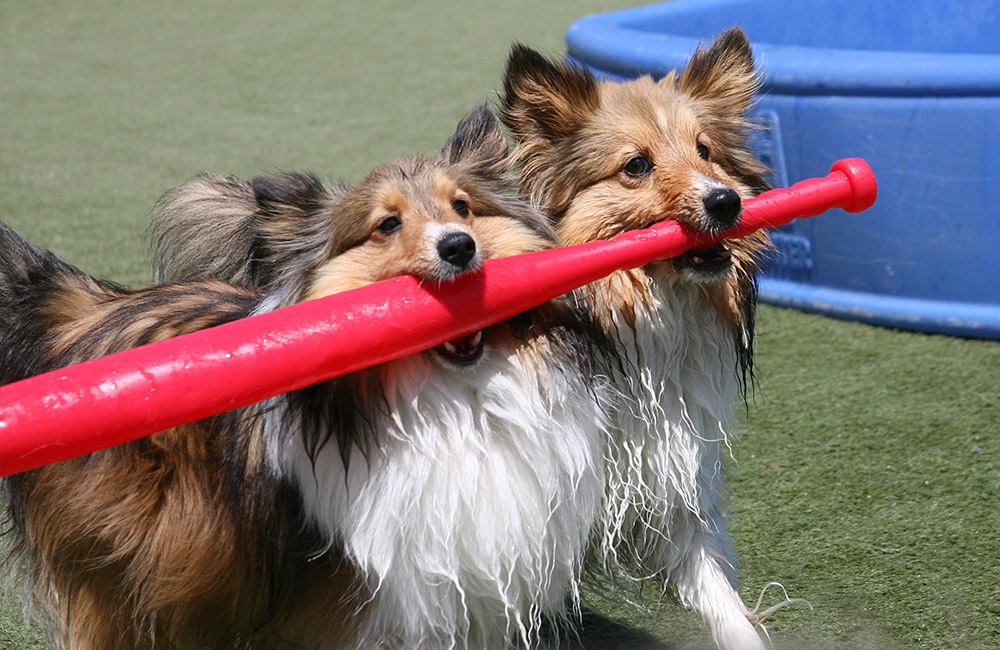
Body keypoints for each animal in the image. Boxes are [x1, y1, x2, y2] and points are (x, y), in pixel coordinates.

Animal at [3, 106, 604, 648]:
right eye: (387, 224)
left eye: (463, 206)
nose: (458, 245)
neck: (455, 401)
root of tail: (77, 305)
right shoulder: (360, 600)